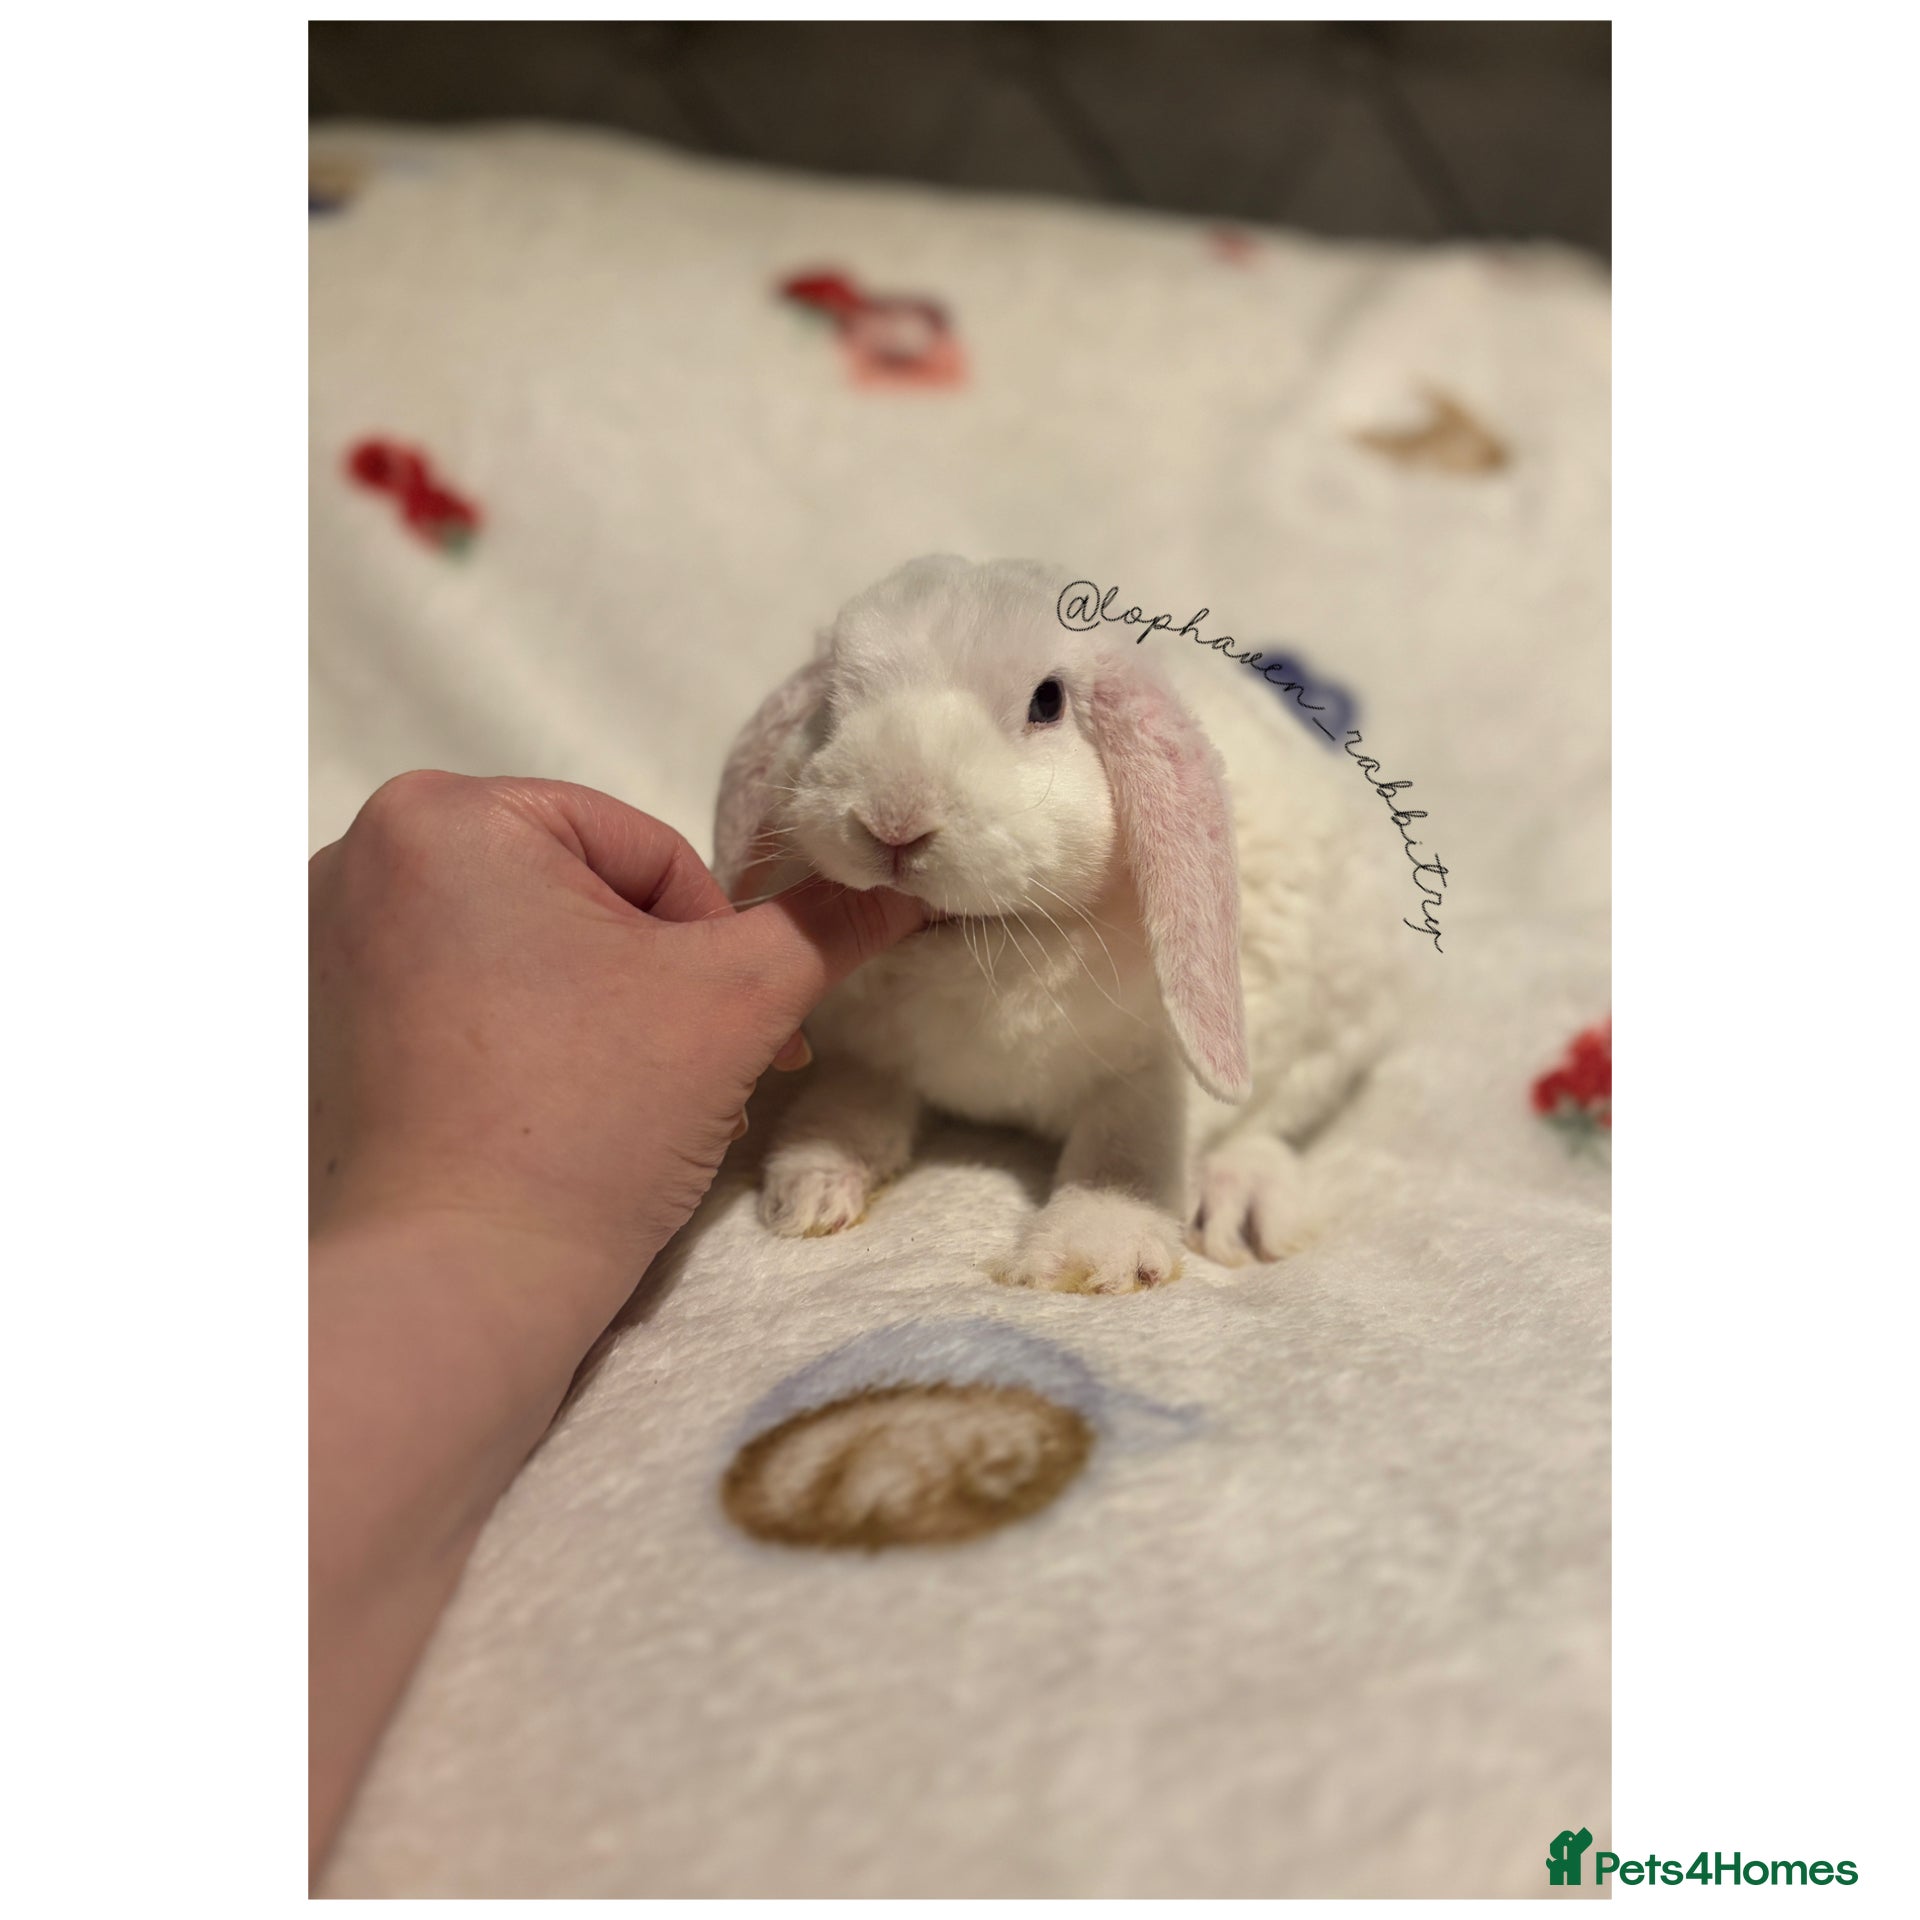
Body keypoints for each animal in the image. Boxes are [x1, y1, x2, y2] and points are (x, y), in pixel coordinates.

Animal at [712, 554, 1402, 1294]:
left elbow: (1124, 1152)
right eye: (829, 703)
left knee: (1265, 1128)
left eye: (1048, 702)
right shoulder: (870, 1056)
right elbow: (850, 1104)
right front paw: (808, 1190)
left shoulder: (1151, 1075)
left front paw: (1092, 1257)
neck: (985, 937)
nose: (892, 821)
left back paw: (1242, 1204)